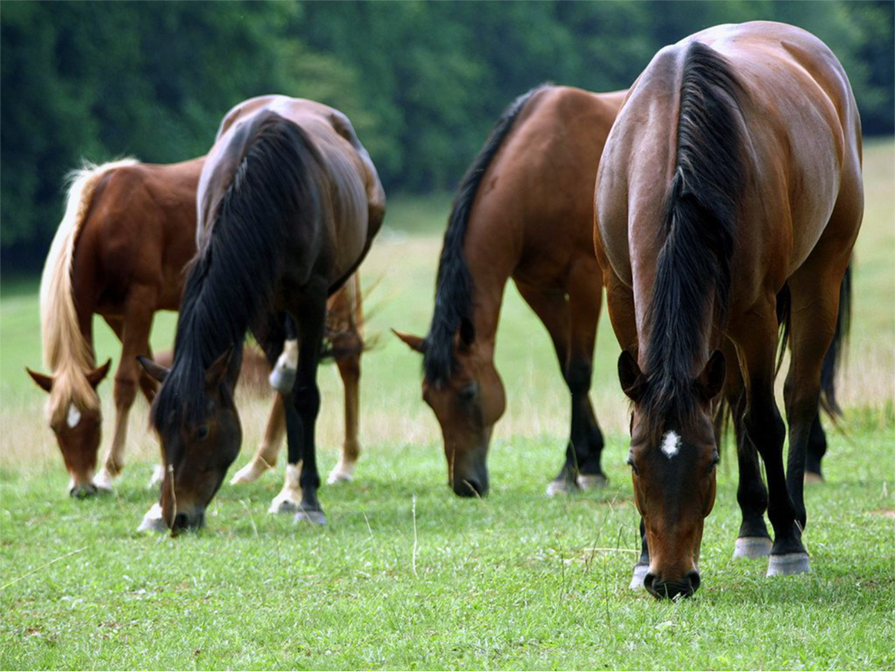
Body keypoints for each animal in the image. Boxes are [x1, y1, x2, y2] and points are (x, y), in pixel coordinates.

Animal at [27, 157, 366, 498]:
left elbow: (126, 383)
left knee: (345, 359)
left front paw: (109, 472)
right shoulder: (116, 315)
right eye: (54, 426)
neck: (105, 220)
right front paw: (163, 467)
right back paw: (261, 465)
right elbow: (150, 380)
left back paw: (341, 465)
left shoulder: (140, 301)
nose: (81, 487)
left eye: (96, 421)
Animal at [137, 95, 385, 532]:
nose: (176, 516)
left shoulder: (311, 298)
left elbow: (305, 395)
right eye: (159, 431)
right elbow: (286, 394)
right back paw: (289, 486)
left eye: (202, 431)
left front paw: (309, 501)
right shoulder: (257, 304)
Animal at [395, 85, 626, 497]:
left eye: (469, 392)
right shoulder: (538, 289)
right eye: (428, 399)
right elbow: (566, 368)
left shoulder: (584, 280)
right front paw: (586, 461)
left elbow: (579, 371)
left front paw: (575, 470)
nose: (465, 485)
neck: (542, 173)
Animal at [593, 22, 862, 598]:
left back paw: (789, 518)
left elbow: (765, 420)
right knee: (735, 399)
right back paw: (751, 525)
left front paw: (787, 545)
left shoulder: (756, 313)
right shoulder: (621, 298)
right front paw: (641, 555)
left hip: (817, 277)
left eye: (709, 460)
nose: (671, 581)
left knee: (797, 395)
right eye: (633, 462)